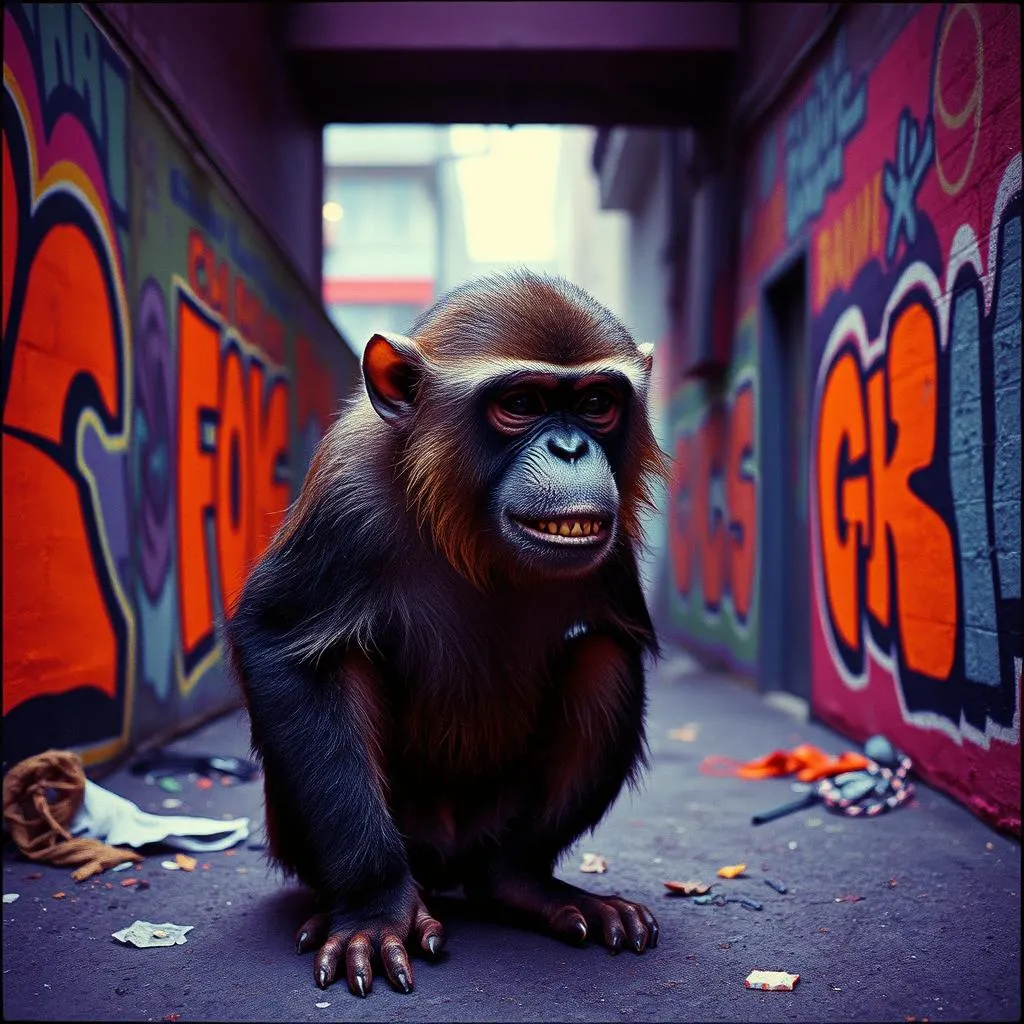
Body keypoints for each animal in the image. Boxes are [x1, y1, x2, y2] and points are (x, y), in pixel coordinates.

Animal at [225, 270, 669, 997]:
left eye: (597, 403)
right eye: (520, 403)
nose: (570, 446)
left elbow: (618, 634)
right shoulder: (348, 494)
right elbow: (281, 646)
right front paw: (374, 908)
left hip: (490, 827)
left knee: (604, 660)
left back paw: (522, 882)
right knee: (342, 668)